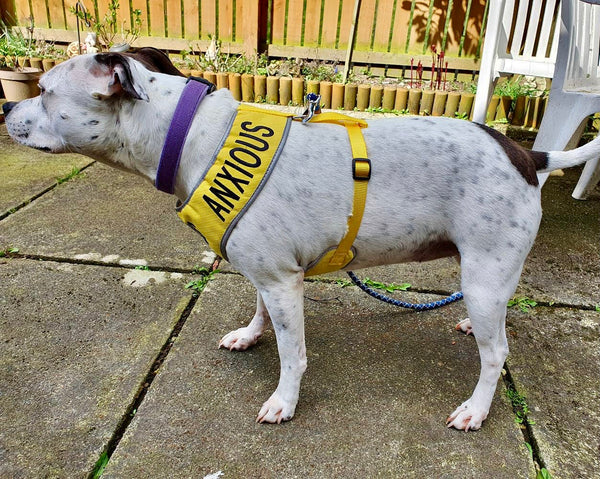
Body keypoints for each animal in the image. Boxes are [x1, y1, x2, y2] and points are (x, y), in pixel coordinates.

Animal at [3, 48, 596, 432]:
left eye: (45, 91)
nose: (7, 106)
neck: (190, 133)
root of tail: (526, 153)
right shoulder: (268, 277)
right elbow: (261, 311)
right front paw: (250, 335)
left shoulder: (283, 282)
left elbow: (293, 352)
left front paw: (284, 402)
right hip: (490, 274)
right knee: (497, 318)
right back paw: (472, 324)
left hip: (483, 275)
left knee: (496, 354)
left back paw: (477, 407)